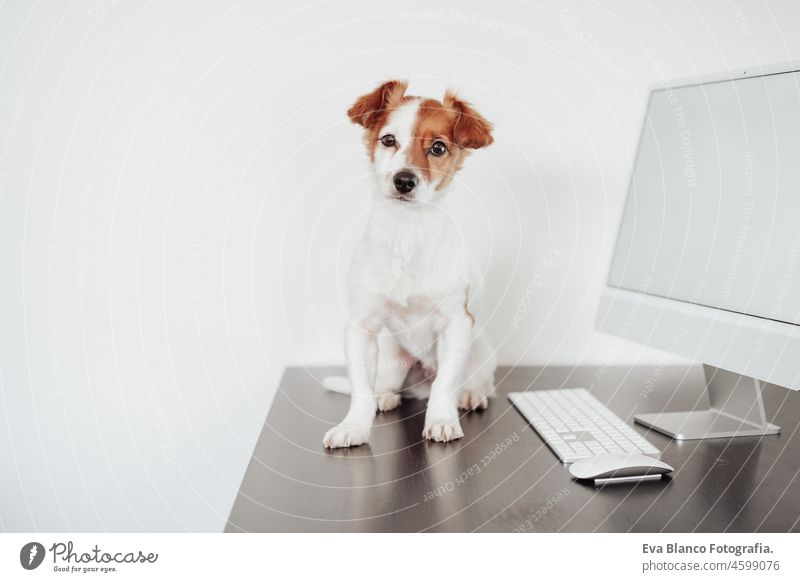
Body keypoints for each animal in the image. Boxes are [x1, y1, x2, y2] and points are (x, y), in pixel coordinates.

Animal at [322, 80, 496, 450]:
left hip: (479, 351)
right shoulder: (361, 327)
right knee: (385, 385)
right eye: (389, 140)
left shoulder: (456, 324)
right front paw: (354, 426)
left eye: (438, 147)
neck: (406, 232)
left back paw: (470, 395)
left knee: (473, 383)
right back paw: (385, 397)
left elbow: (446, 385)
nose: (404, 180)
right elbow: (360, 389)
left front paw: (442, 420)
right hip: (392, 359)